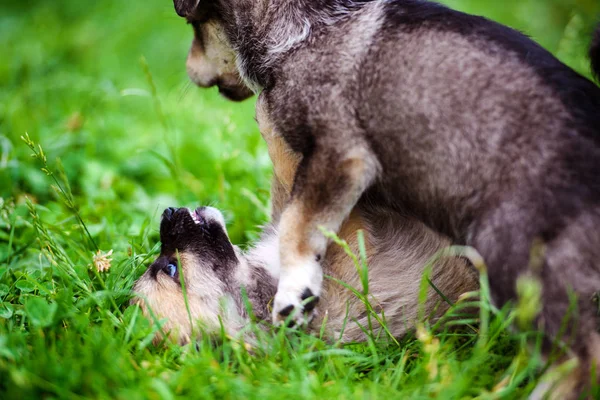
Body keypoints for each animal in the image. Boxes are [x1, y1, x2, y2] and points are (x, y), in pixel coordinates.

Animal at [171, 0, 596, 394]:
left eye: (193, 25)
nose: (189, 72)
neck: (301, 29)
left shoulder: (341, 155)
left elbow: (296, 224)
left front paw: (295, 291)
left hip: (511, 257)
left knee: (581, 354)